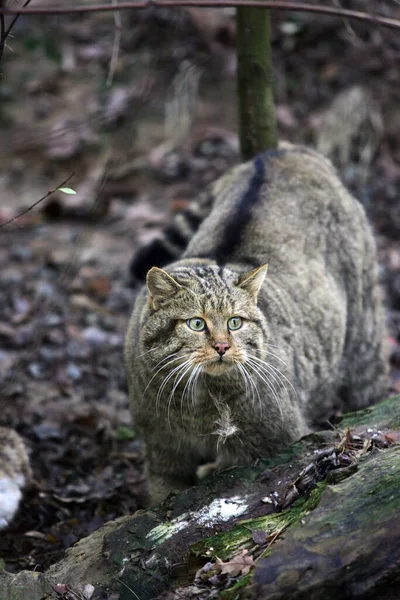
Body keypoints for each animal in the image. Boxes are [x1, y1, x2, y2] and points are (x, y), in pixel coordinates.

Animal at [125, 143, 388, 504]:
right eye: (196, 324)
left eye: (235, 322)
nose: (222, 346)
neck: (200, 400)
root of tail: (284, 151)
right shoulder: (163, 452)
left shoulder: (276, 443)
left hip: (364, 340)